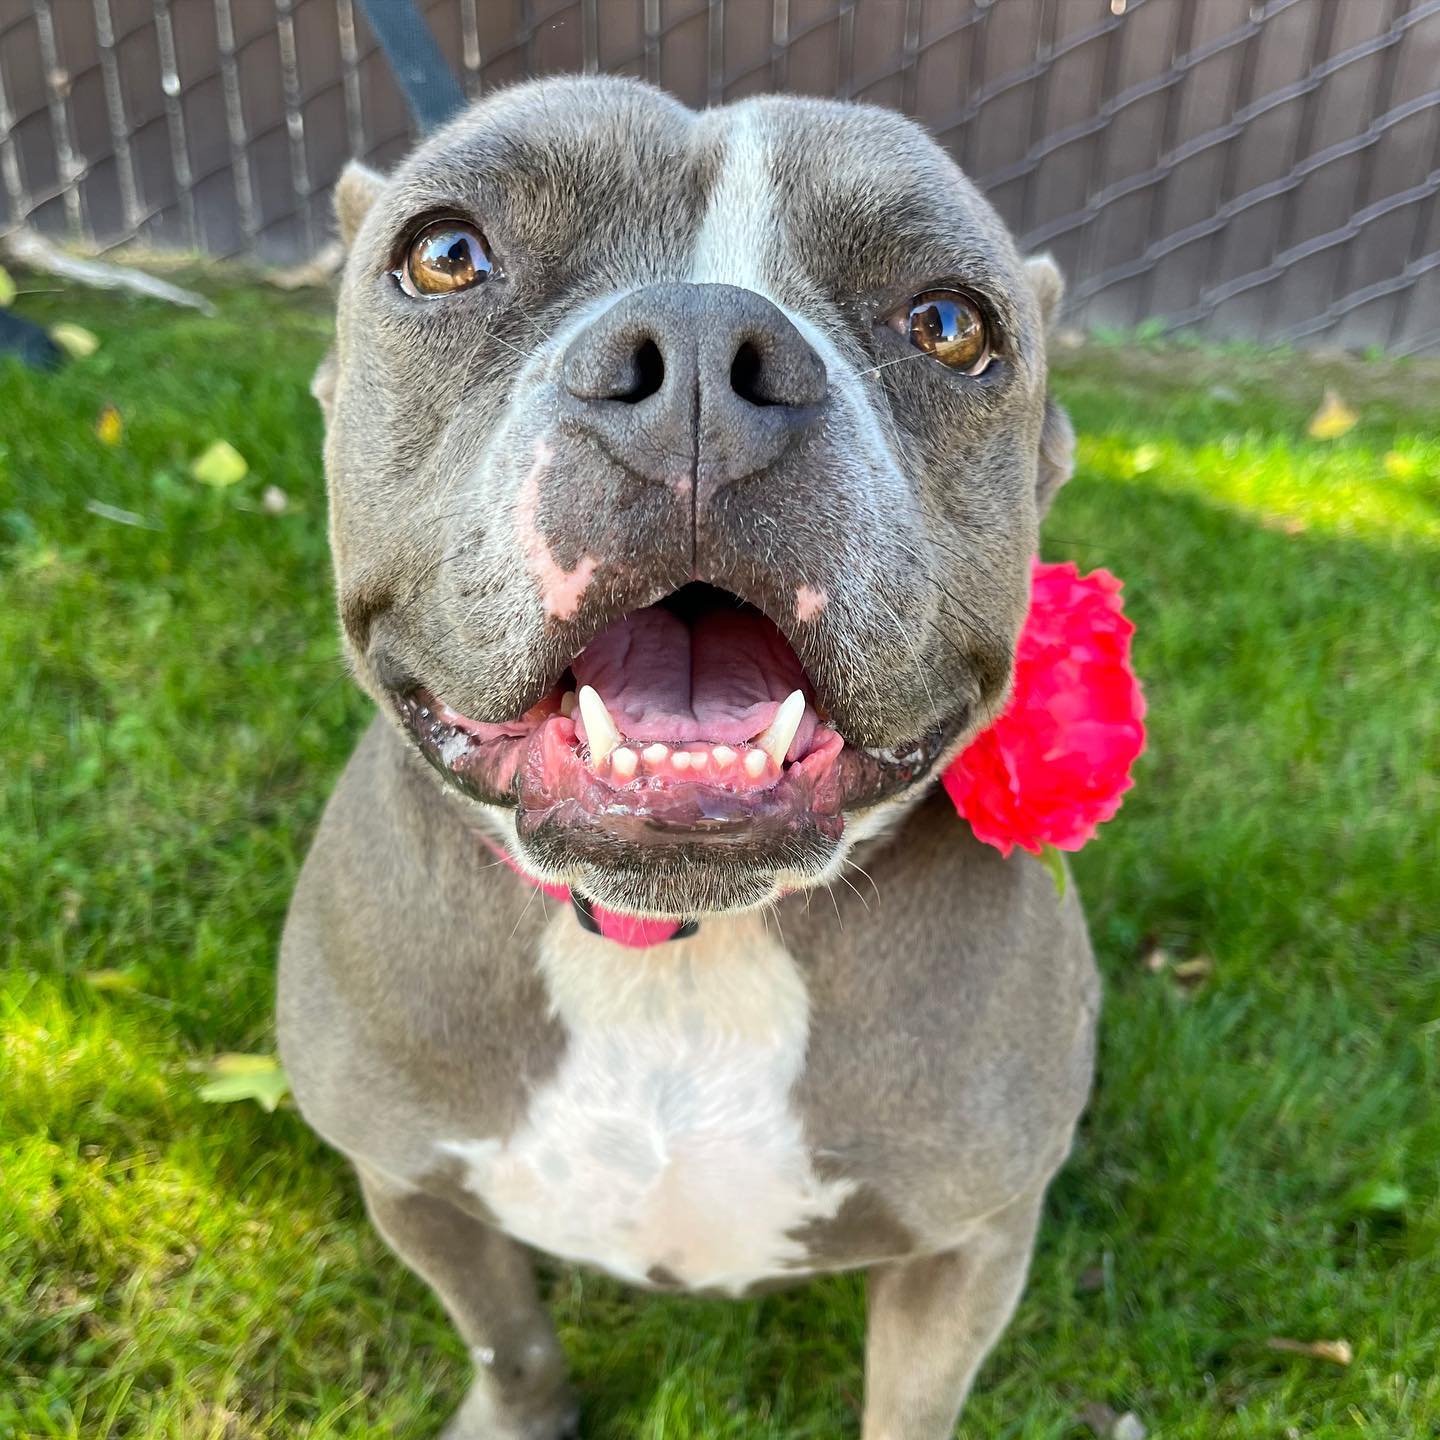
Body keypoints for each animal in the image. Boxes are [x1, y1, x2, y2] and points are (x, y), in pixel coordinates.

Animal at [277, 78, 1088, 1440]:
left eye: (949, 324)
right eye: (445, 255)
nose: (706, 355)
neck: (673, 953)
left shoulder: (971, 1244)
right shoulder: (409, 1182)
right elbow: (508, 1340)